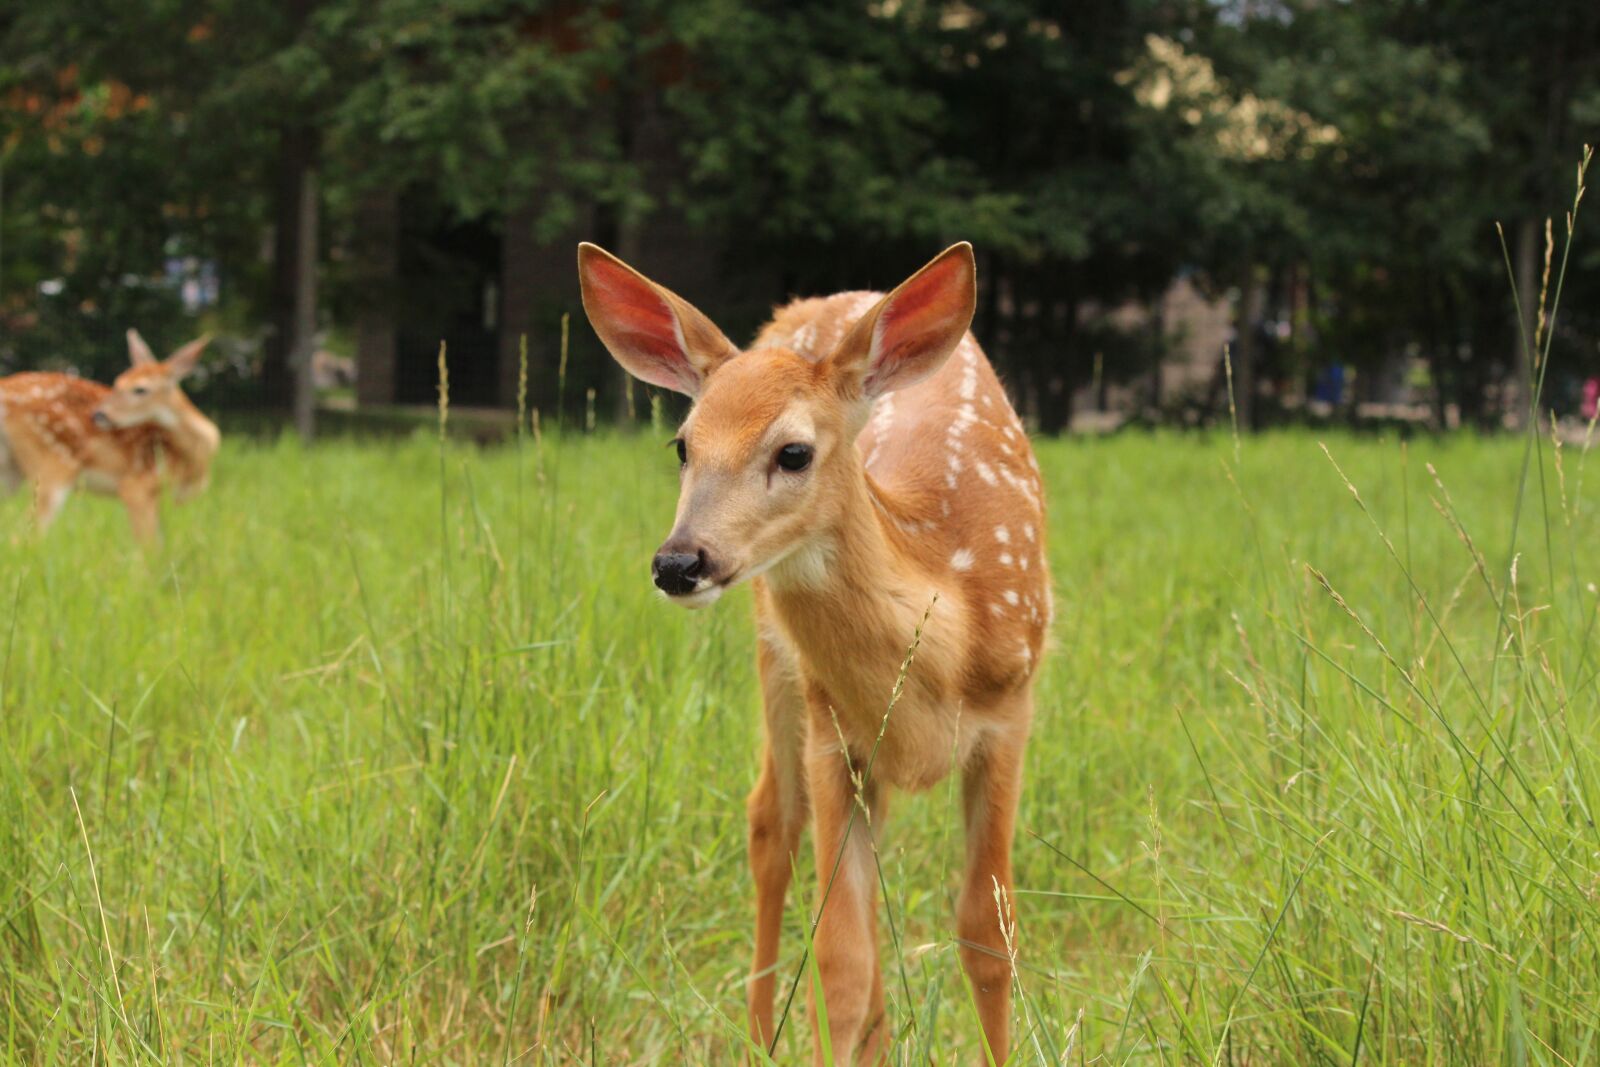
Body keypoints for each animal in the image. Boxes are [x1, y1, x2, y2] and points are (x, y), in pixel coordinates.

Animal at [0, 331, 220, 547]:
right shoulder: (137, 486)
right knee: (24, 535)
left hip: (12, 471)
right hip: (54, 462)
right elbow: (149, 546)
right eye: (118, 382)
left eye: (140, 389)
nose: (99, 414)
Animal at [579, 244, 1049, 1067]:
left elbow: (988, 936)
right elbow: (840, 959)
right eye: (682, 444)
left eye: (793, 452)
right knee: (771, 823)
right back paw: (759, 1038)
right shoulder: (834, 732)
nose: (679, 562)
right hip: (779, 664)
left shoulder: (1008, 718)